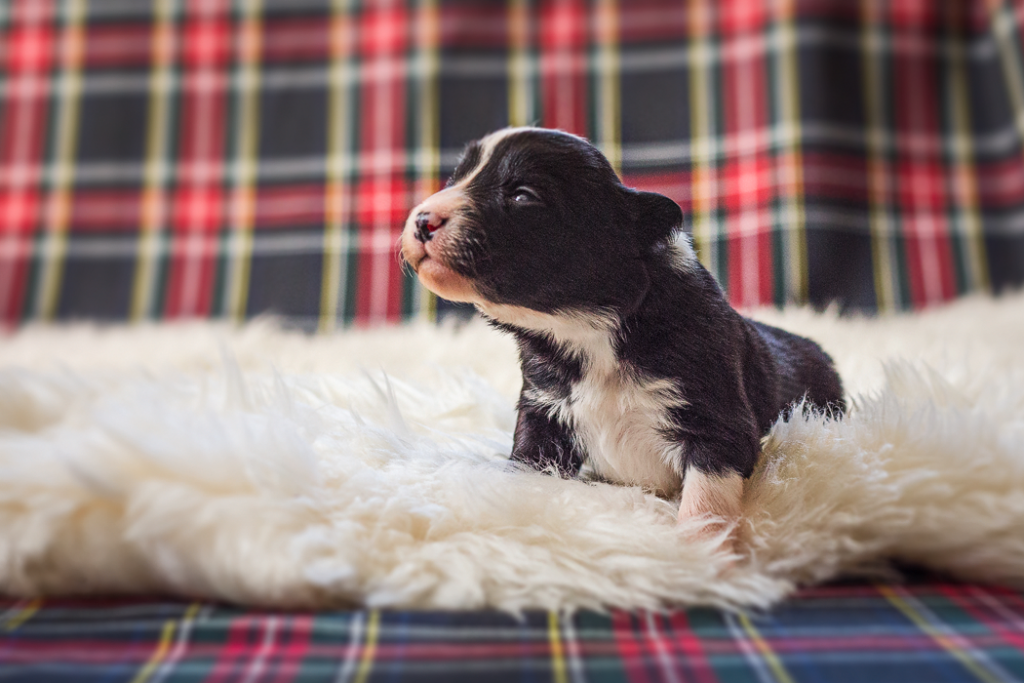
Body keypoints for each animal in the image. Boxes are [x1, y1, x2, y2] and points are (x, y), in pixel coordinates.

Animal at [397, 126, 839, 532]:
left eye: (522, 196)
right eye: (455, 178)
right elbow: (527, 465)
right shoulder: (543, 413)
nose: (422, 220)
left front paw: (704, 550)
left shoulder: (717, 422)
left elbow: (705, 502)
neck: (586, 327)